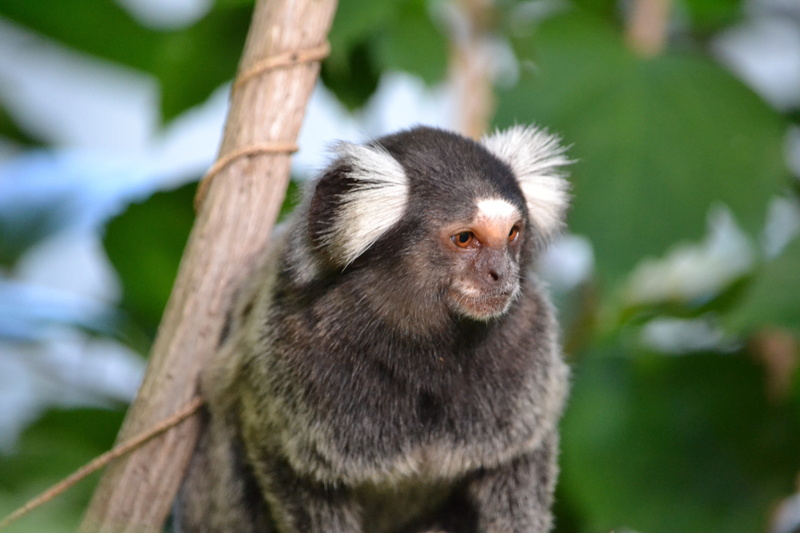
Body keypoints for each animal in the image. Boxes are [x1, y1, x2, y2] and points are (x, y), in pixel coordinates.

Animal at [175, 125, 571, 533]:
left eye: (512, 234)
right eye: (465, 238)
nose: (502, 273)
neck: (425, 351)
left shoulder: (530, 338)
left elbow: (519, 464)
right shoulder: (288, 353)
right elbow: (288, 467)